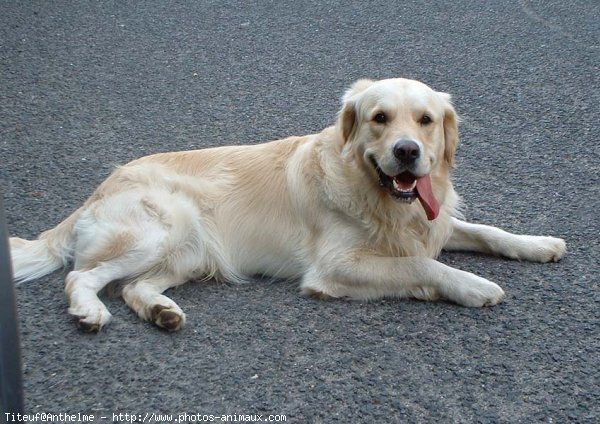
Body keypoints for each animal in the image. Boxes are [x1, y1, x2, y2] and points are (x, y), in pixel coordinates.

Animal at [9, 78, 568, 332]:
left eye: (426, 120)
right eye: (380, 118)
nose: (407, 152)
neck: (373, 193)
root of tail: (98, 189)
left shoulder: (430, 220)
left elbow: (487, 231)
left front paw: (540, 243)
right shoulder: (335, 266)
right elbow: (421, 263)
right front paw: (474, 285)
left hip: (188, 251)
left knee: (134, 287)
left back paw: (162, 312)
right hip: (156, 230)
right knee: (81, 276)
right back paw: (89, 310)